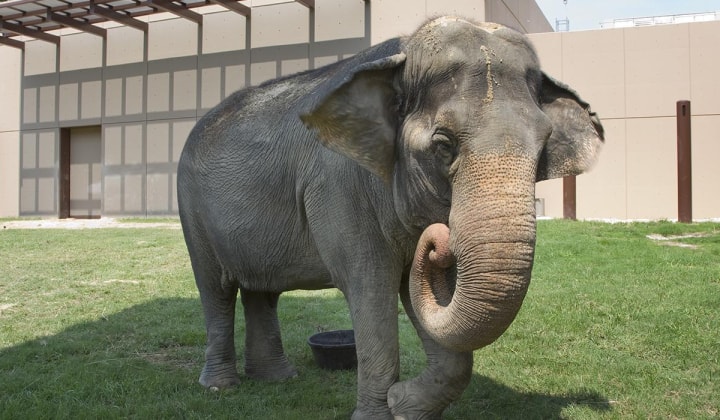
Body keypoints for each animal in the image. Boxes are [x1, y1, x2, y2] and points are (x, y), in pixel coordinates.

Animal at [177, 16, 604, 420]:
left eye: (543, 147)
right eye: (443, 145)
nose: (439, 239)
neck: (401, 56)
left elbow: (429, 295)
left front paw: (405, 407)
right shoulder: (339, 188)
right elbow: (371, 287)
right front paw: (382, 412)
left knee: (261, 292)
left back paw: (277, 379)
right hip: (191, 207)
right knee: (216, 289)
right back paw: (219, 387)